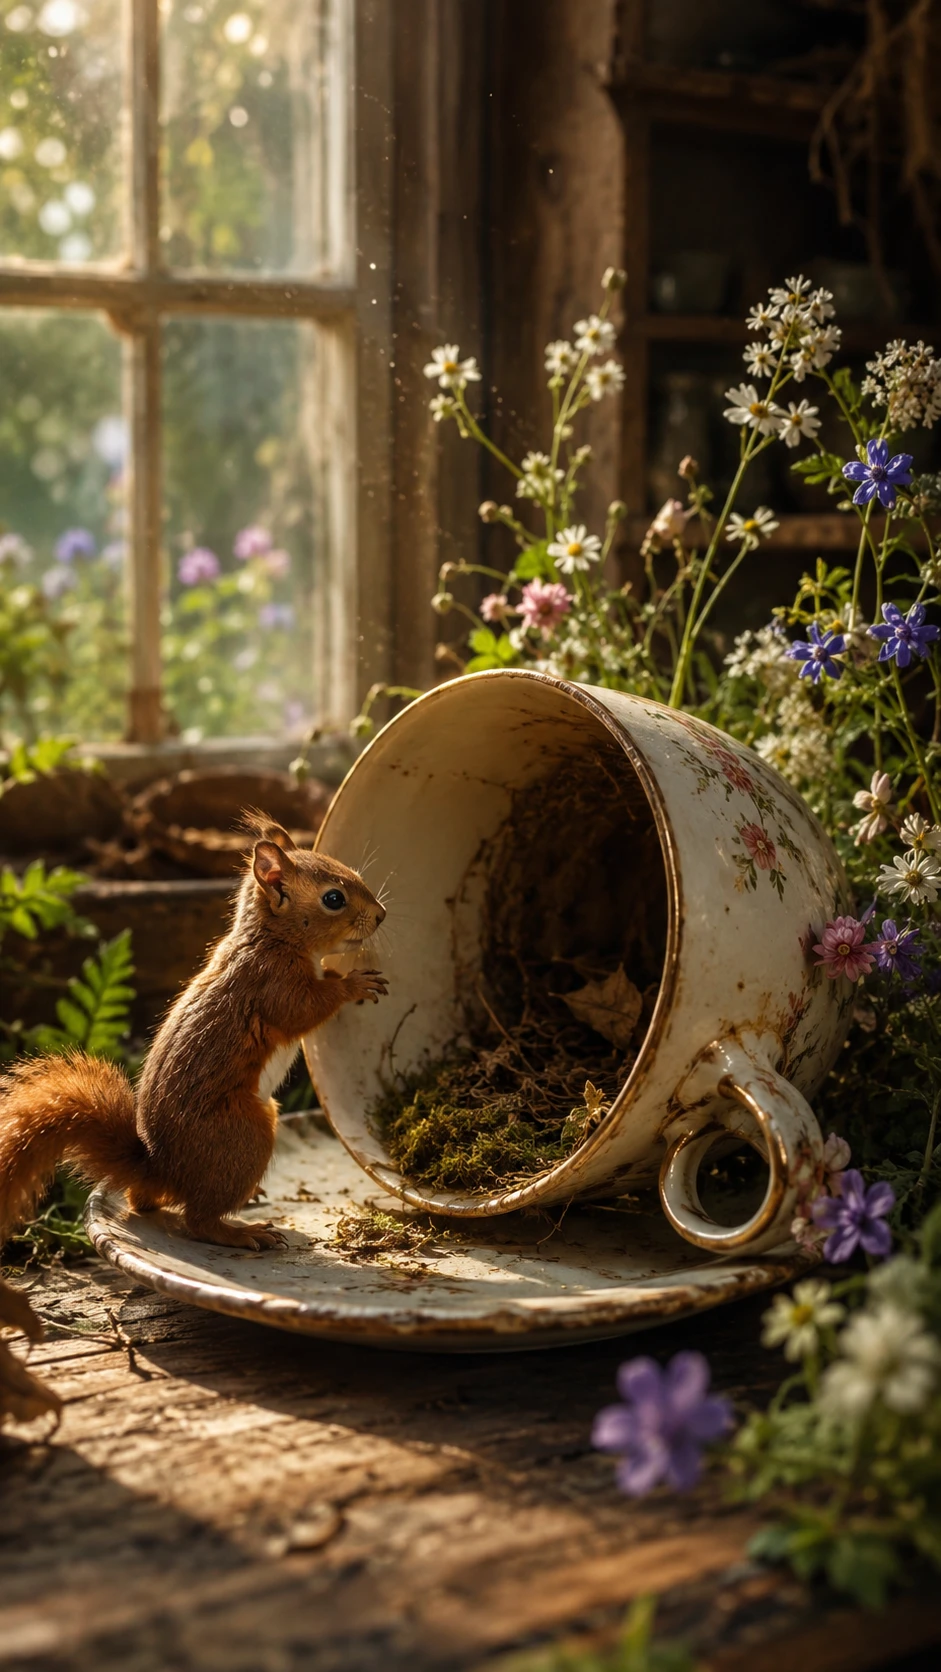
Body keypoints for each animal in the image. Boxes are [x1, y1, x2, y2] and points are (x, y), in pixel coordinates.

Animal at [0, 815, 388, 1252]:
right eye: (333, 899)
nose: (381, 914)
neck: (272, 939)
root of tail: (163, 1169)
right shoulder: (270, 983)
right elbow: (302, 1010)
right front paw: (353, 984)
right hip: (246, 1133)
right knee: (198, 1221)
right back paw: (243, 1232)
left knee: (145, 1201)